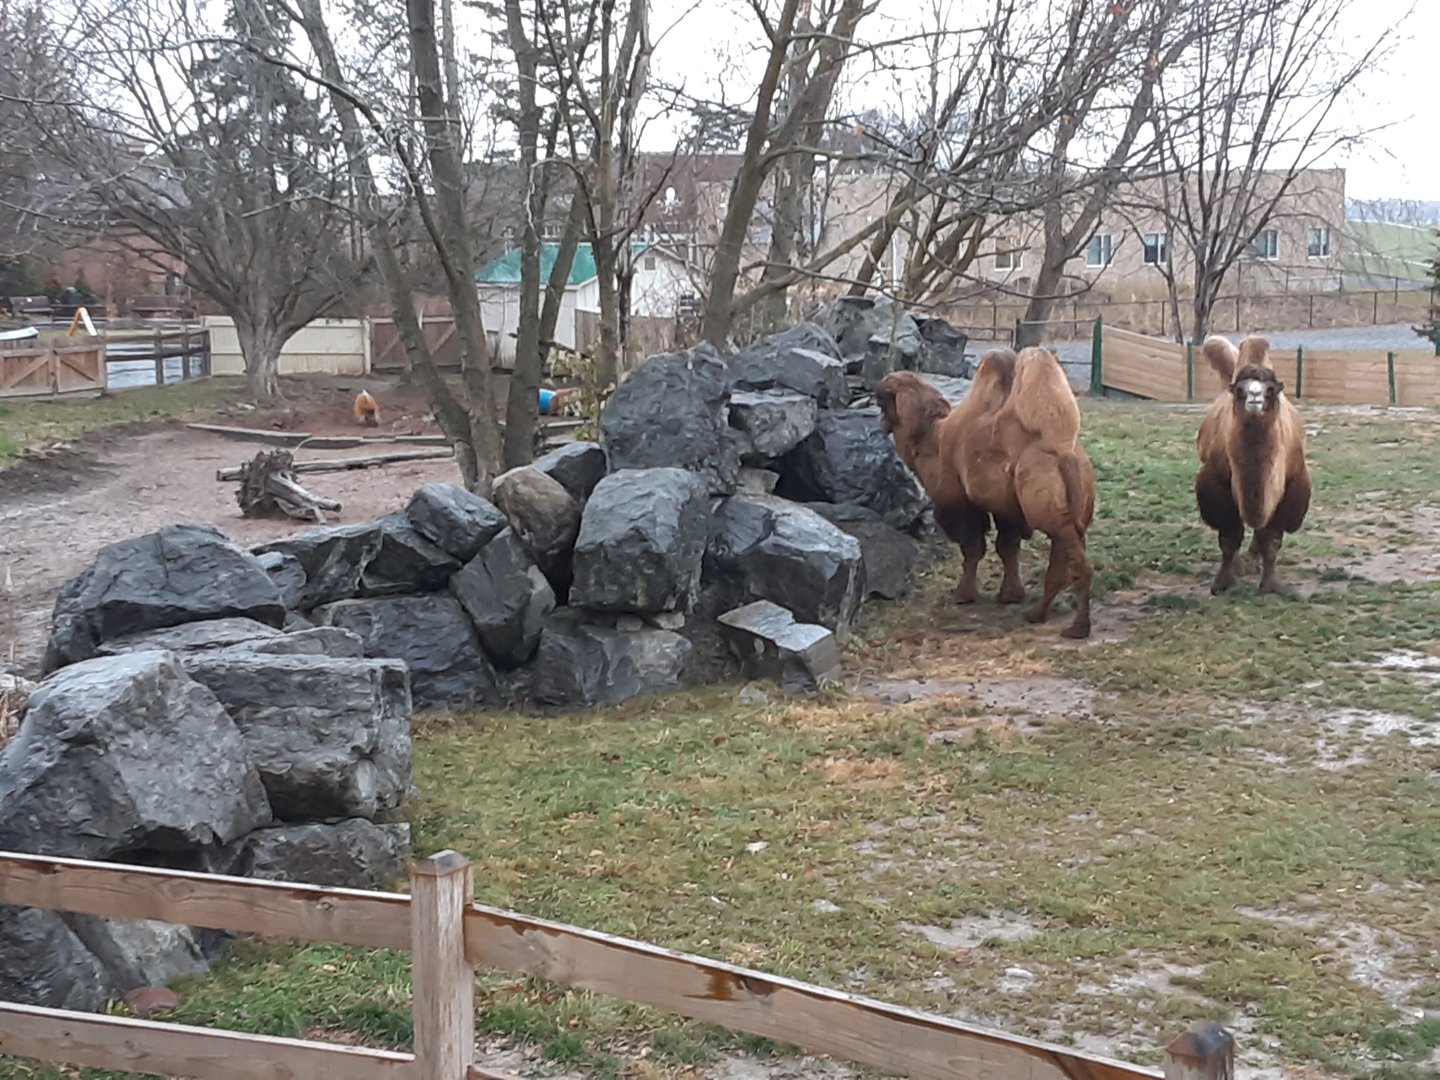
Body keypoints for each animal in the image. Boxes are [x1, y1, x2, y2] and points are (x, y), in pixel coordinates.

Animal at [876, 347, 1097, 639]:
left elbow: (972, 548)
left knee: (1075, 562)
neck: (932, 441)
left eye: (882, 403)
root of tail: (1064, 452)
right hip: (1076, 506)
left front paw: (964, 595)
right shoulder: (1006, 508)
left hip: (1045, 504)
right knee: (1061, 562)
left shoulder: (960, 501)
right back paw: (1037, 614)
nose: (881, 423)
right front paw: (1011, 596)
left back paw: (1078, 627)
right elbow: (1007, 547)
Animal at [1194, 335, 1311, 595]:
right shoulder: (1216, 485)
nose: (1255, 398)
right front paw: (1223, 582)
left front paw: (1270, 585)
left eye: (1270, 390)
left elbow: (1272, 539)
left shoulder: (1291, 487)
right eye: (1240, 390)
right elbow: (1229, 537)